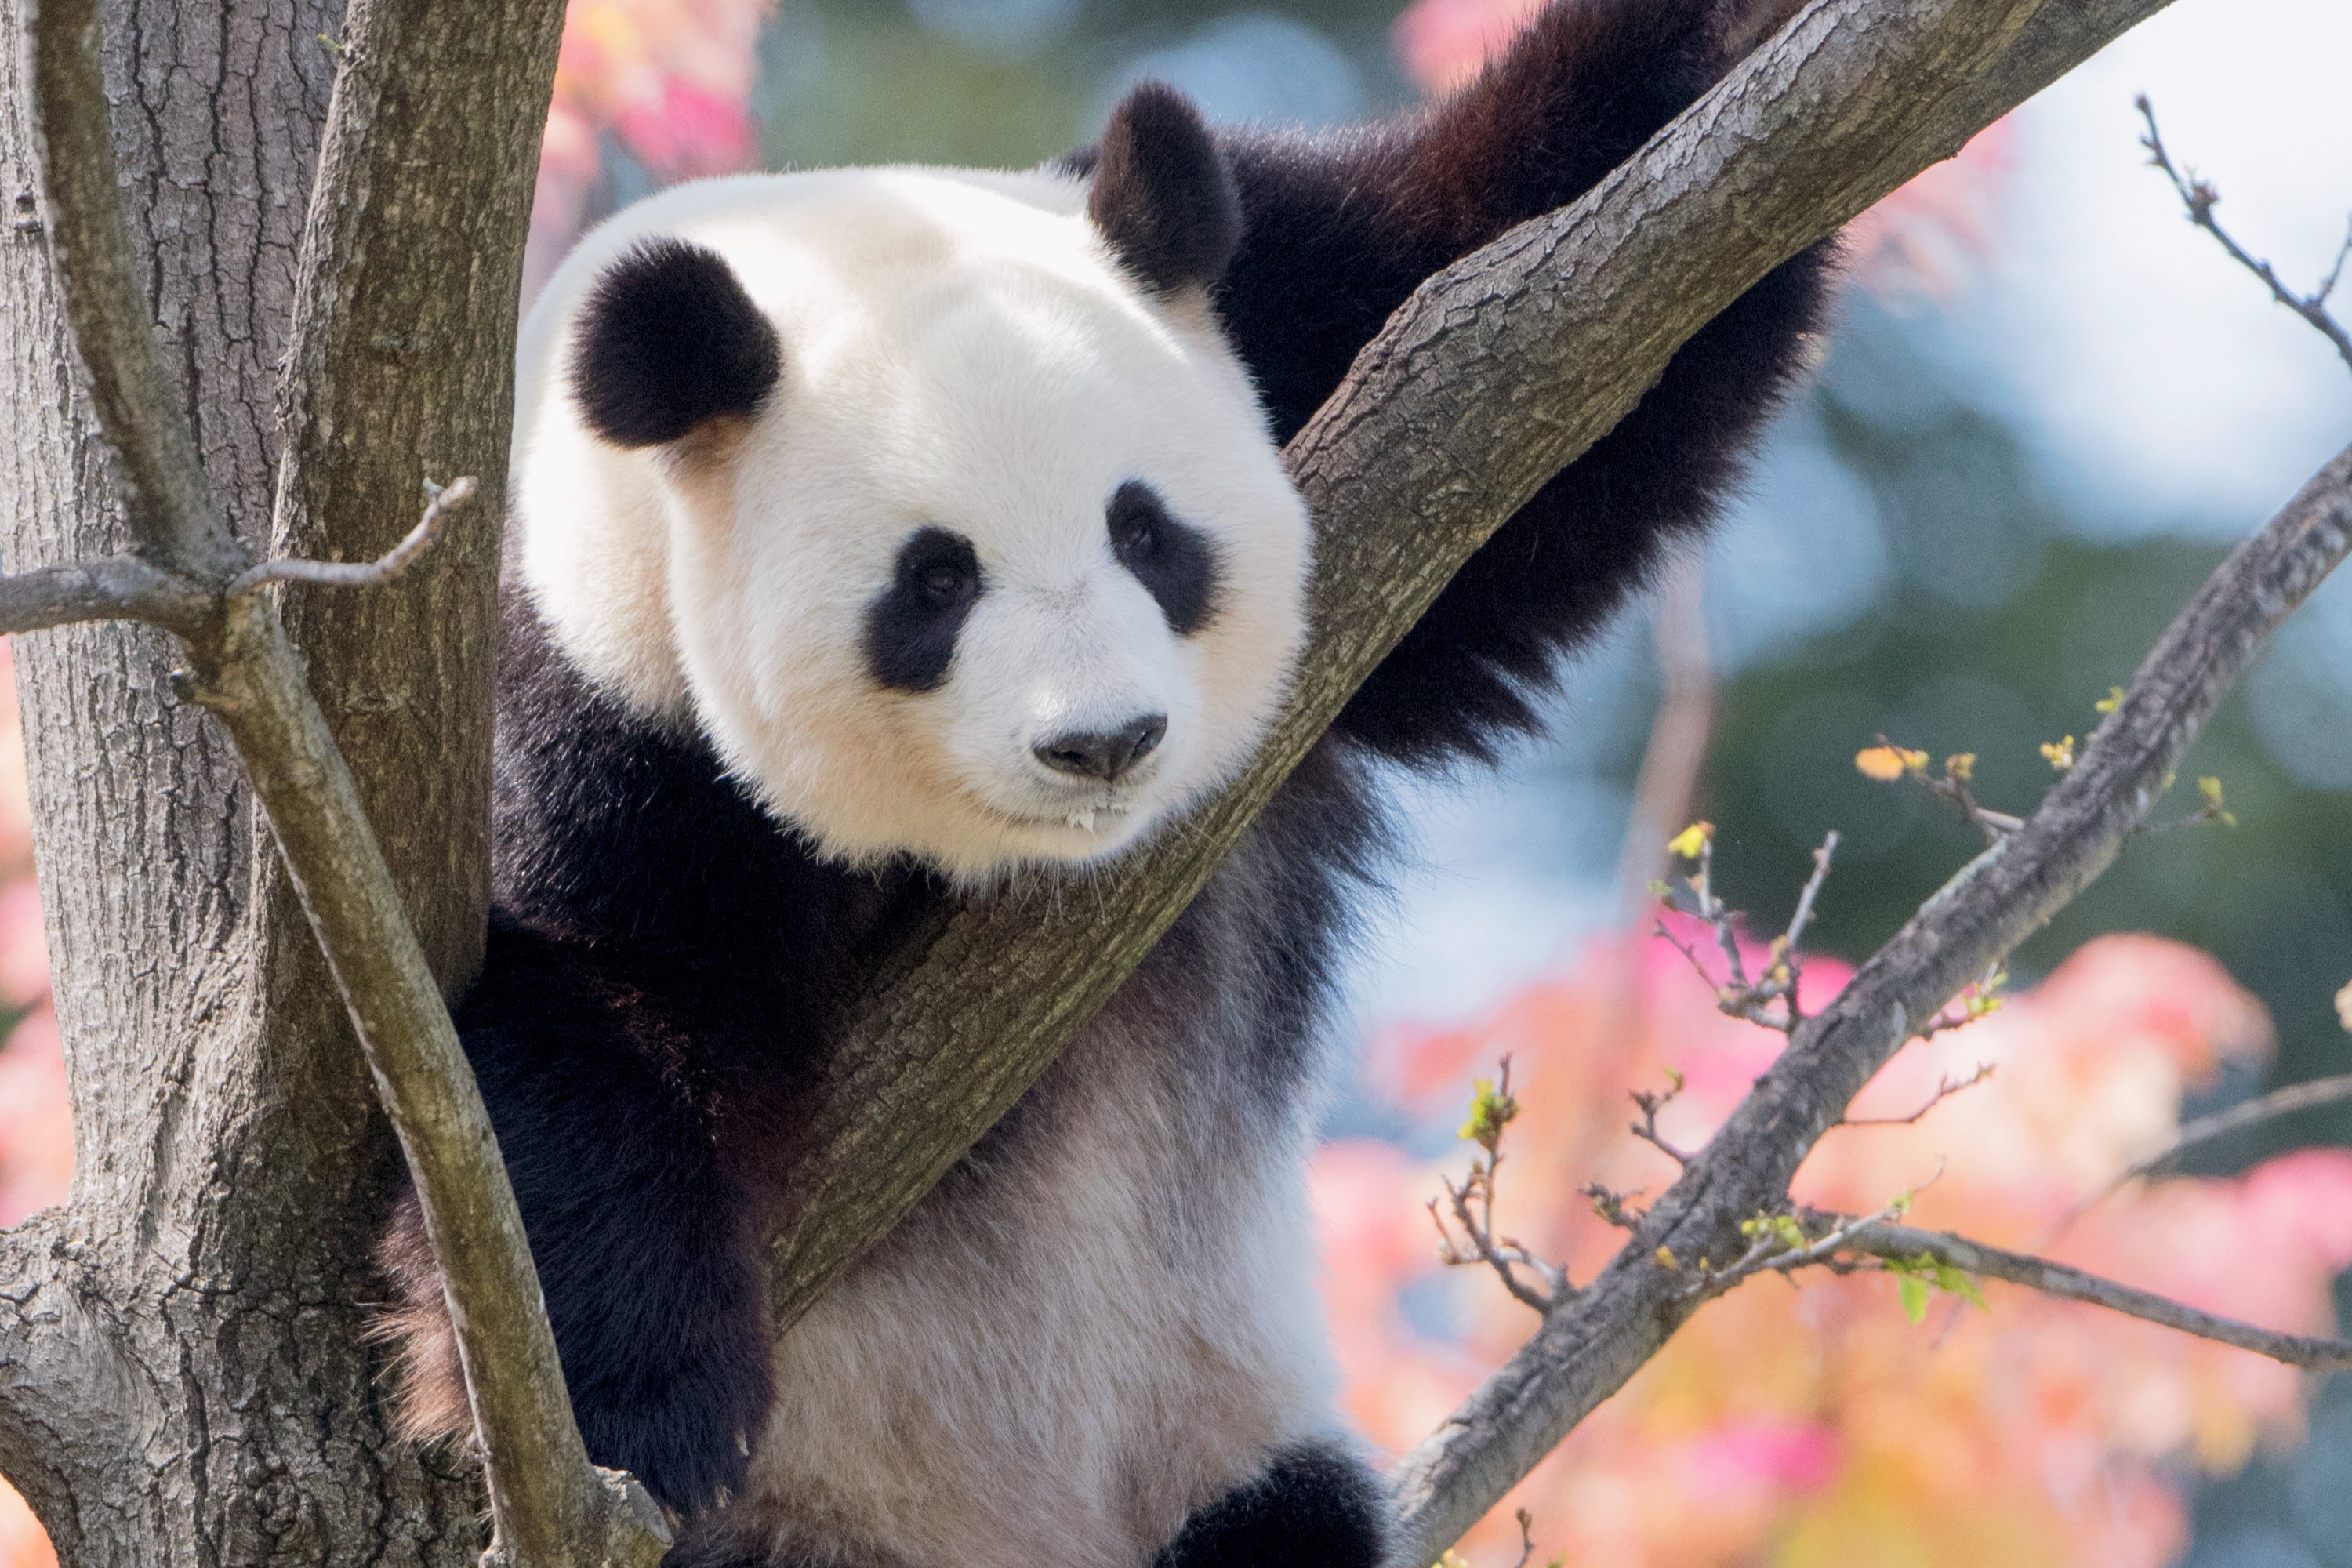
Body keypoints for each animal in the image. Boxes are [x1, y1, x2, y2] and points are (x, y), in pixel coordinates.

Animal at [376, 0, 1825, 1561]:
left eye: (1146, 530)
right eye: (934, 581)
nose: (1104, 743)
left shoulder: (1296, 313)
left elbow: (1565, 335)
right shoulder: (585, 698)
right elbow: (579, 1008)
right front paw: (642, 1408)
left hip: (1213, 1427)